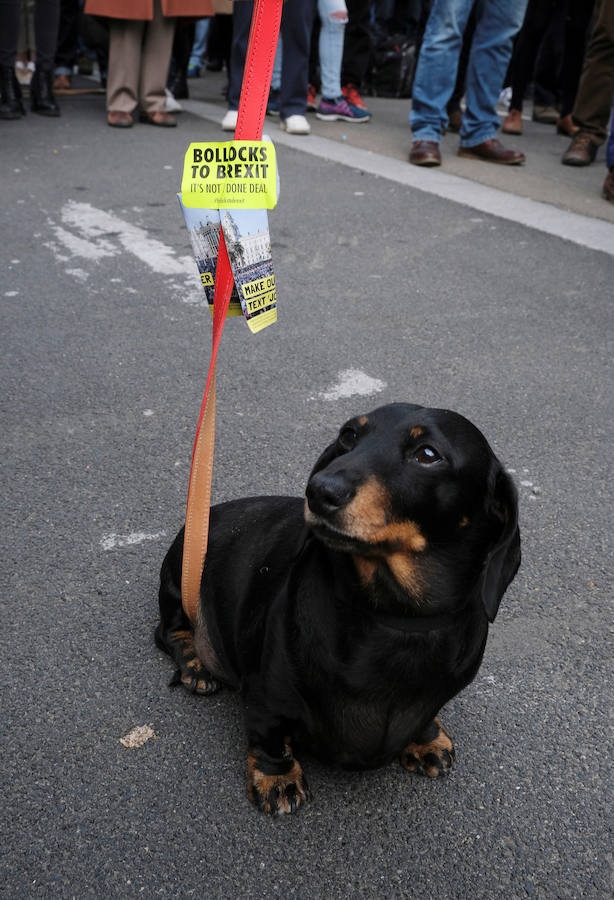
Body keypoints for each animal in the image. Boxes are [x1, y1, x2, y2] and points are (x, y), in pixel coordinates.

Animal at [156, 404, 524, 812]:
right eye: (349, 435)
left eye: (428, 454)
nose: (318, 492)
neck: (397, 618)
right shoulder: (267, 696)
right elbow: (269, 734)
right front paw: (276, 777)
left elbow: (427, 715)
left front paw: (427, 739)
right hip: (179, 577)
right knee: (169, 630)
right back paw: (195, 665)